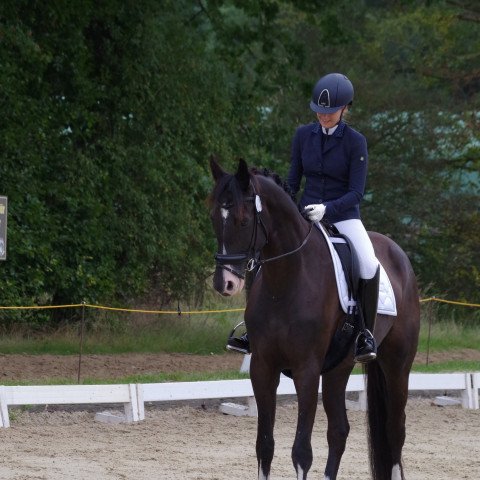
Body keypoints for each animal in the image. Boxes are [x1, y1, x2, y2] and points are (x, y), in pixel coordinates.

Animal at [208, 158, 418, 480]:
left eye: (243, 221)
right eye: (213, 219)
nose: (225, 284)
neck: (286, 280)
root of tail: (399, 254)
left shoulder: (306, 369)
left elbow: (301, 451)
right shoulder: (262, 366)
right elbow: (264, 445)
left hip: (397, 365)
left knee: (395, 431)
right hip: (338, 368)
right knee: (339, 431)